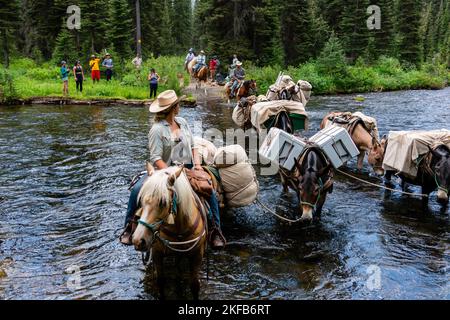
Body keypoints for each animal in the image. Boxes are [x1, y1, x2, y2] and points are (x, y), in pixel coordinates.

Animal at [131, 164, 207, 302]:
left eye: (163, 202)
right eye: (141, 201)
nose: (138, 240)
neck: (179, 230)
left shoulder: (198, 254)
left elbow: (194, 285)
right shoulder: (157, 253)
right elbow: (160, 282)